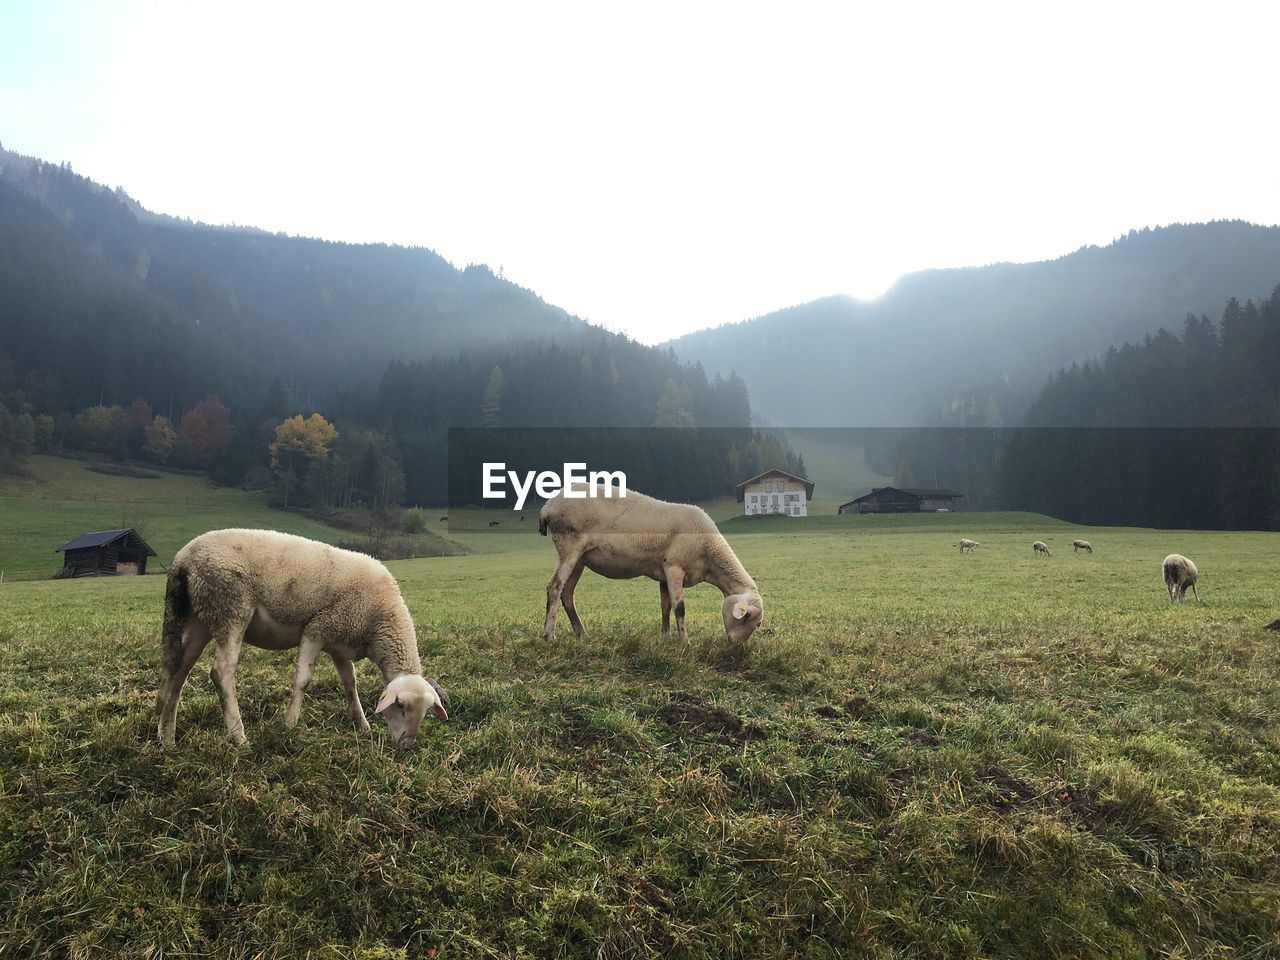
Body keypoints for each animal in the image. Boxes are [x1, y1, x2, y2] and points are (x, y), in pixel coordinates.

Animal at [154, 529, 448, 747]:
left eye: (426, 712)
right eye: (400, 706)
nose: (407, 745)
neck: (381, 622)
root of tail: (182, 560)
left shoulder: (340, 643)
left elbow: (350, 684)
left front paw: (361, 724)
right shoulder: (317, 629)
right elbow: (303, 680)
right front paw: (289, 725)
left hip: (199, 617)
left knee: (177, 671)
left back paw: (167, 736)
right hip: (231, 607)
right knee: (221, 672)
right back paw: (239, 737)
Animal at [537, 488, 762, 647]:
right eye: (748, 617)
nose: (735, 645)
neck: (709, 555)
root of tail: (548, 506)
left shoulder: (664, 574)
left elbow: (666, 606)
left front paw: (666, 638)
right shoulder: (674, 567)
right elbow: (680, 607)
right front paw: (685, 642)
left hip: (579, 559)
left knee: (567, 593)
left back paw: (581, 633)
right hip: (569, 545)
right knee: (555, 587)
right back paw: (549, 635)